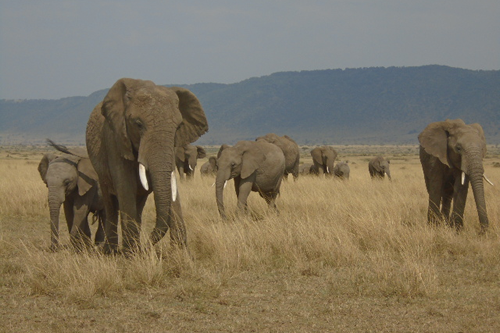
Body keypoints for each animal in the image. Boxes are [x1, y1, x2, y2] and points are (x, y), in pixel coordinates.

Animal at [86, 78, 209, 252]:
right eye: (138, 124)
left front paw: (180, 252)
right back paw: (111, 251)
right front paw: (131, 255)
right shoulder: (114, 139)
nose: (148, 245)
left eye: (178, 127)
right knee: (110, 203)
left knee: (139, 203)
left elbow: (171, 187)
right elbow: (125, 187)